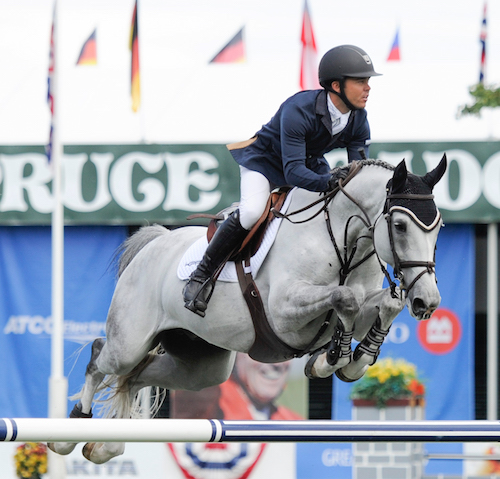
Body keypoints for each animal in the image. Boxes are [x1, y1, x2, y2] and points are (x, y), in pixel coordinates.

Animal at [49, 156, 450, 464]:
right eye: (399, 225)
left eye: (439, 227)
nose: (428, 302)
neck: (343, 239)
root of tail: (155, 243)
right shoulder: (285, 314)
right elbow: (344, 298)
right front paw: (330, 358)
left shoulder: (363, 302)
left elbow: (384, 303)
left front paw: (354, 359)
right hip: (130, 340)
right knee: (103, 357)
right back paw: (68, 434)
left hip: (200, 367)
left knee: (136, 377)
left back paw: (106, 446)